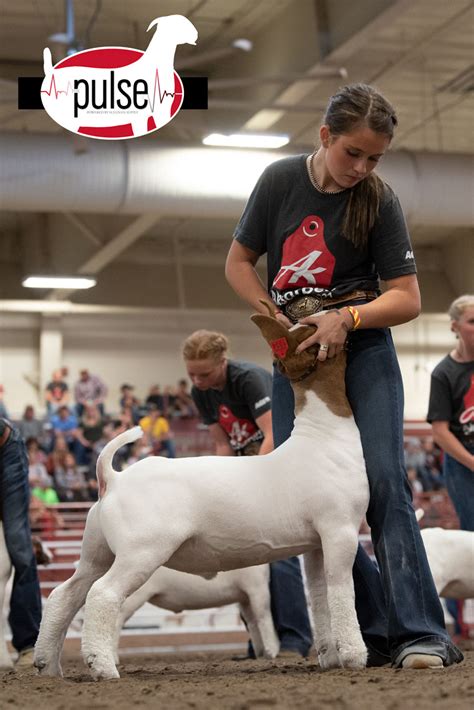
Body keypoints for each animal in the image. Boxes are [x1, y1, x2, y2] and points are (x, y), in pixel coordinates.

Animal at [113, 568, 280, 660]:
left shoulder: (244, 598)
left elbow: (253, 623)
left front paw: (260, 654)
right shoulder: (256, 586)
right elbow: (265, 618)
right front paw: (271, 653)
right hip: (134, 596)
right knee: (115, 622)